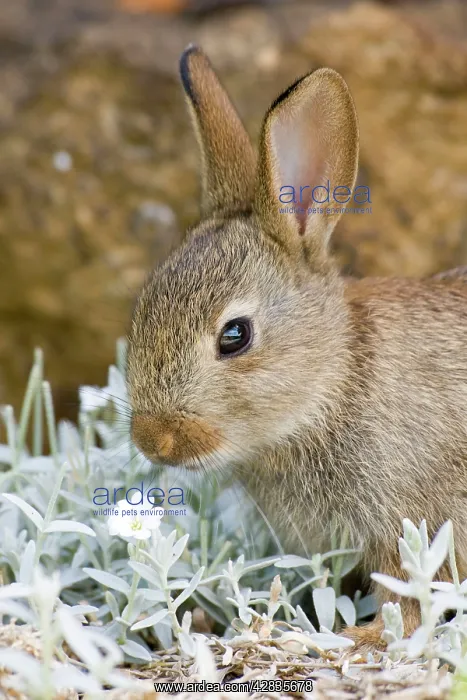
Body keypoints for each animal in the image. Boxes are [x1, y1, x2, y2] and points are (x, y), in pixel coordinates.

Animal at [126, 44, 467, 650]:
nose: (153, 439)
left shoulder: (410, 521)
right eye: (143, 307)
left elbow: (405, 603)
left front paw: (353, 637)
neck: (333, 382)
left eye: (234, 336)